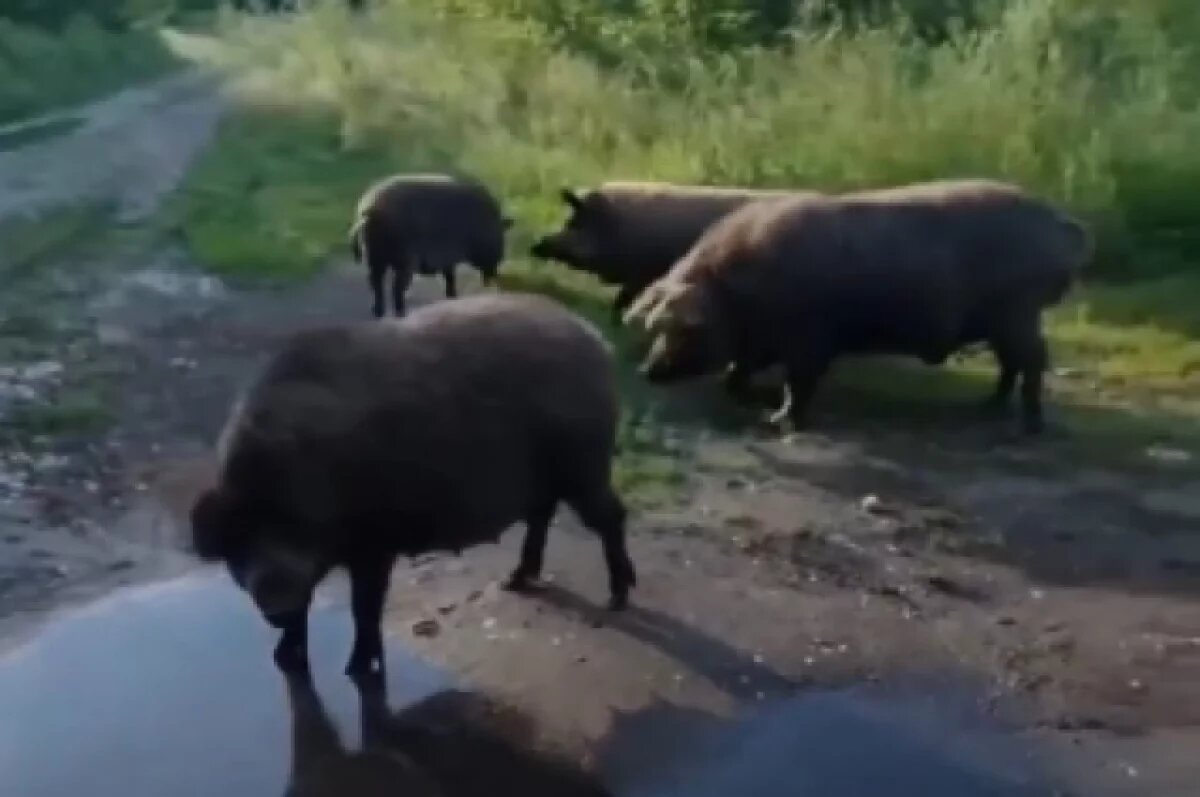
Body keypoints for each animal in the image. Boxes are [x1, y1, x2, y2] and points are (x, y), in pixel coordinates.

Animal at [187, 292, 638, 676]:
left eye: (292, 522)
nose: (274, 597)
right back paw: (514, 581)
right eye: (237, 537)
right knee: (542, 514)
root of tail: (595, 340)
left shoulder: (376, 542)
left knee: (611, 515)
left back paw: (616, 598)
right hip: (551, 475)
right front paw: (284, 660)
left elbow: (365, 606)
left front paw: (356, 670)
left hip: (584, 461)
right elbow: (311, 612)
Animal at [350, 174, 513, 316]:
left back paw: (378, 312)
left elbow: (449, 275)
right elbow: (449, 276)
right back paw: (401, 313)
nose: (495, 277)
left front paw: (452, 297)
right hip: (403, 258)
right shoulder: (449, 253)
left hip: (373, 256)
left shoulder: (448, 257)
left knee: (375, 282)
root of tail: (370, 211)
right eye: (501, 238)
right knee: (396, 286)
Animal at [624, 178, 1094, 436]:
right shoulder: (761, 343)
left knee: (1034, 362)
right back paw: (988, 406)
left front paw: (781, 422)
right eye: (656, 326)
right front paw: (744, 394)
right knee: (1010, 364)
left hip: (1019, 312)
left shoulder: (809, 341)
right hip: (1003, 322)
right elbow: (737, 372)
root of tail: (1060, 224)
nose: (647, 371)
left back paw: (1027, 425)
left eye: (685, 328)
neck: (738, 294)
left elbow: (798, 383)